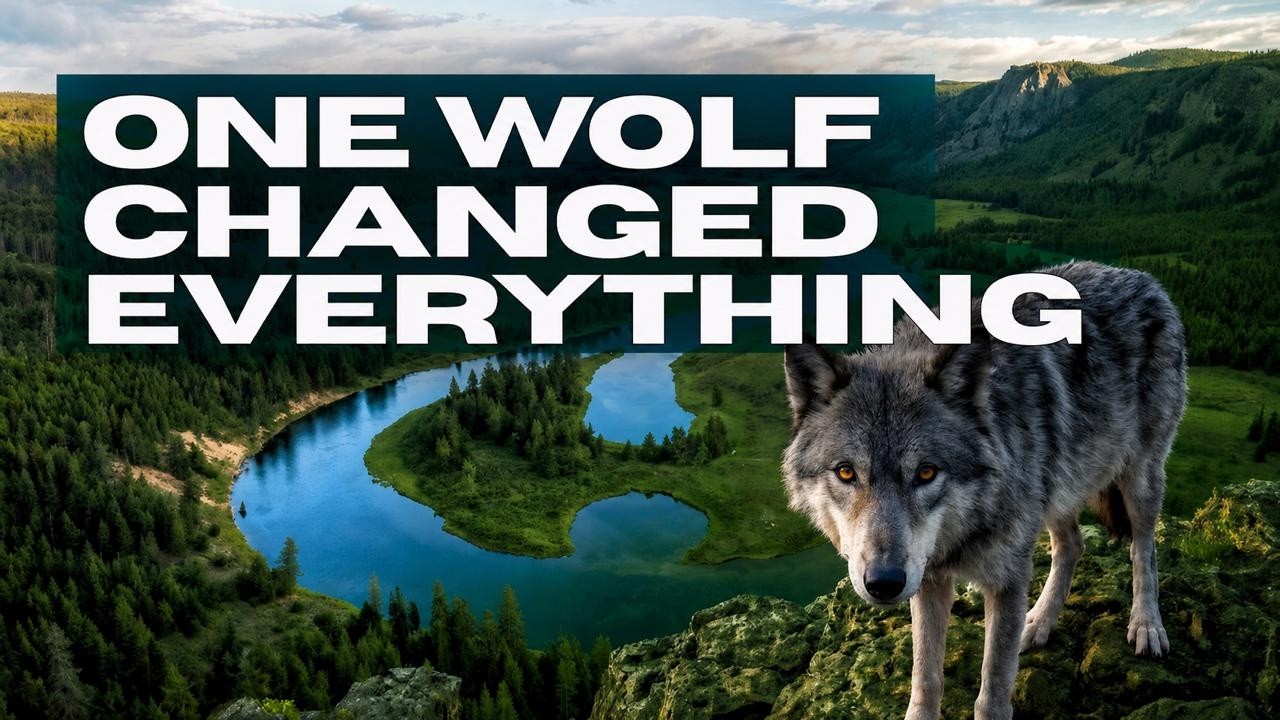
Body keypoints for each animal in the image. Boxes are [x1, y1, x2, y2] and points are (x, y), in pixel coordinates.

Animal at [781, 261, 1186, 720]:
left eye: (926, 472)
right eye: (846, 472)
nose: (883, 582)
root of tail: (1139, 277)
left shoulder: (1007, 579)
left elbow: (993, 688)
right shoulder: (929, 577)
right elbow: (926, 677)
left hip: (1140, 479)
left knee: (1143, 547)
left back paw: (1146, 625)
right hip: (1056, 490)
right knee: (1073, 544)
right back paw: (1039, 621)